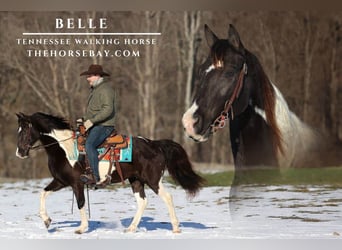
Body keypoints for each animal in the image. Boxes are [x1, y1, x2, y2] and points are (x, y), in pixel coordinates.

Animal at [15, 112, 203, 233]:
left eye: (25, 130)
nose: (19, 153)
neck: (64, 148)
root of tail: (154, 144)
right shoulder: (60, 181)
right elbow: (43, 193)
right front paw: (47, 221)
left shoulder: (77, 183)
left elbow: (81, 203)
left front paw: (82, 228)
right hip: (136, 180)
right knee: (142, 202)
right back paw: (131, 228)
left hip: (153, 180)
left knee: (167, 197)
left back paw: (176, 227)